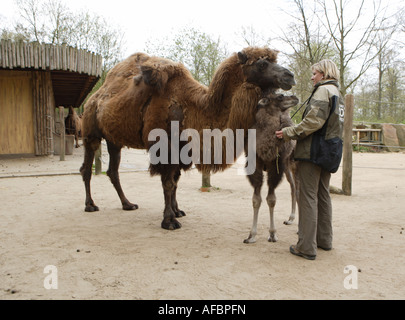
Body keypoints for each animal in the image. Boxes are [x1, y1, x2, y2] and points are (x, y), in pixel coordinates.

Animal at [79, 47, 294, 230]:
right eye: (261, 64)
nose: (290, 76)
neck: (192, 107)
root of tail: (94, 98)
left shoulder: (182, 149)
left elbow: (175, 181)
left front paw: (177, 211)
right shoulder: (165, 147)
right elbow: (168, 183)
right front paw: (169, 221)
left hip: (114, 140)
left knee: (113, 171)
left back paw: (128, 204)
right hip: (91, 133)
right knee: (86, 168)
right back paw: (90, 205)